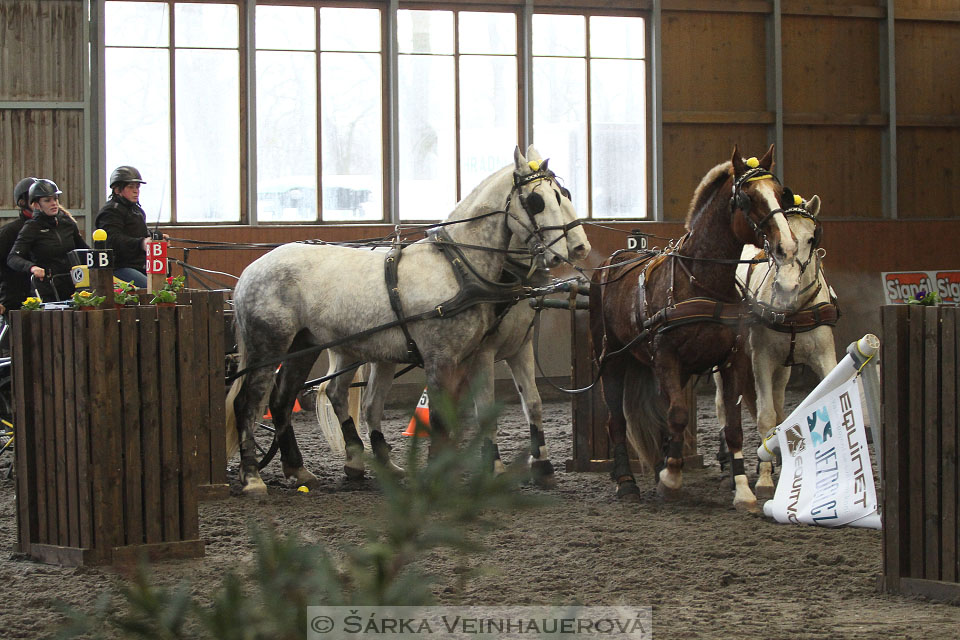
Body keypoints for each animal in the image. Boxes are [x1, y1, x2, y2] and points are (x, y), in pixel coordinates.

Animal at [228, 146, 588, 496]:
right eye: (537, 200)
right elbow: (441, 418)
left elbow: (484, 411)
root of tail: (250, 271)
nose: (572, 251)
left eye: (563, 194)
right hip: (269, 345)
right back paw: (253, 478)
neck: (458, 268)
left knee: (283, 399)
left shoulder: (472, 356)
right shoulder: (443, 358)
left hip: (305, 346)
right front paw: (439, 477)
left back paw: (300, 470)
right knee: (249, 402)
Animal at [592, 145, 796, 510]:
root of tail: (608, 264)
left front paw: (742, 490)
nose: (786, 246)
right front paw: (671, 479)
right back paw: (626, 481)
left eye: (780, 193)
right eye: (747, 197)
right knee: (617, 420)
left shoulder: (731, 361)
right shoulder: (667, 358)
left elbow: (732, 427)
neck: (701, 282)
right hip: (613, 358)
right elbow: (677, 415)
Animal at [712, 192, 840, 498]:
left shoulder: (824, 356)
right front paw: (764, 478)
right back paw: (728, 461)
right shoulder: (762, 360)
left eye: (811, 238)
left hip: (784, 367)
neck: (794, 310)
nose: (786, 287)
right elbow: (765, 415)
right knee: (723, 404)